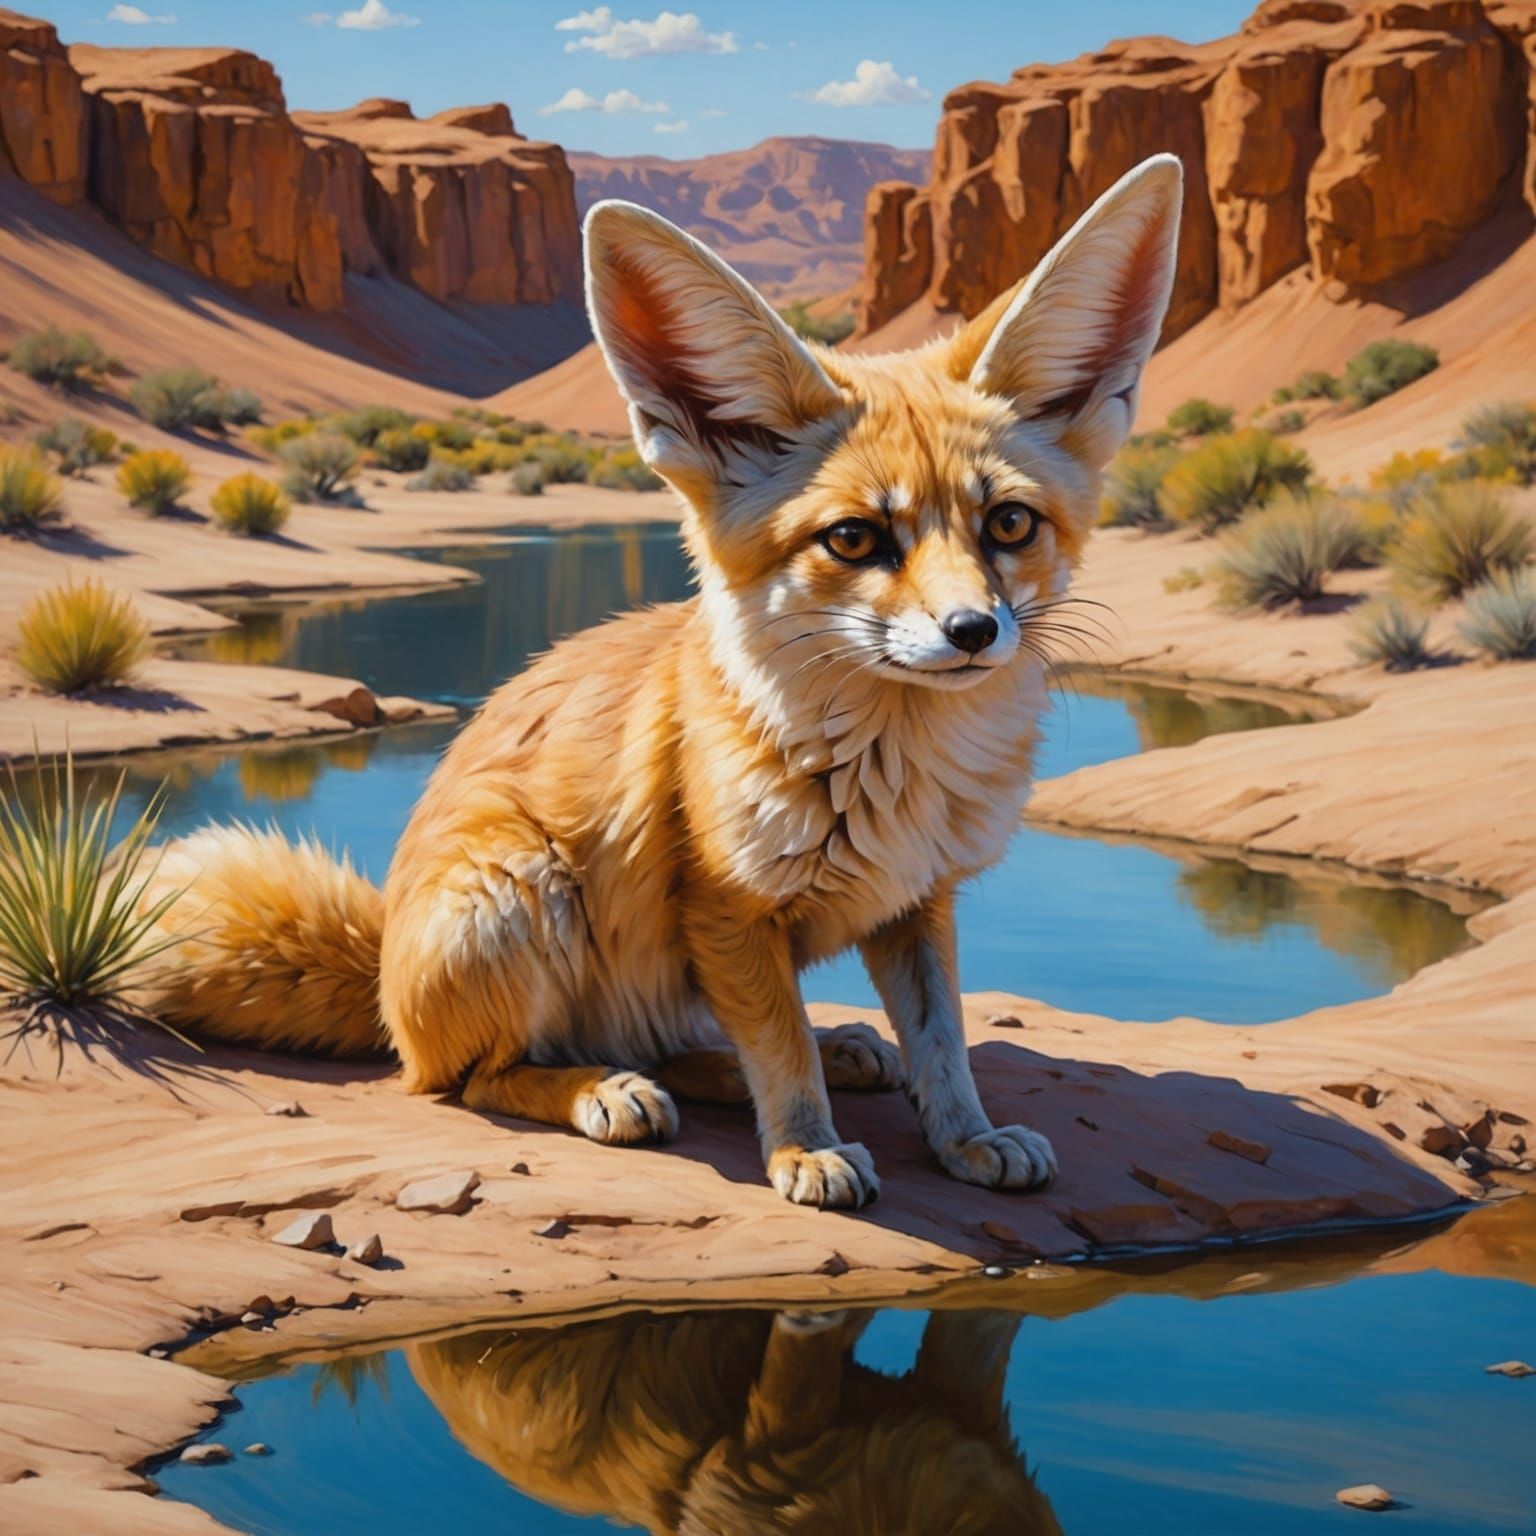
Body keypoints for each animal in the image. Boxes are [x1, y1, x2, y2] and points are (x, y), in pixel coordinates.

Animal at [143, 153, 1183, 1210]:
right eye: (855, 539)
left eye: (1008, 524)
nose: (973, 631)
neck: (895, 778)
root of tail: (387, 980)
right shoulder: (725, 908)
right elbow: (780, 1046)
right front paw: (807, 1150)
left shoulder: (916, 903)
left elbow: (942, 1042)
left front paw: (968, 1139)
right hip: (523, 886)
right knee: (473, 1079)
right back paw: (605, 1091)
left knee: (682, 1048)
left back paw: (811, 1054)